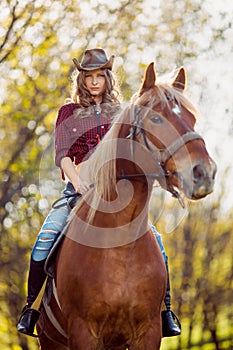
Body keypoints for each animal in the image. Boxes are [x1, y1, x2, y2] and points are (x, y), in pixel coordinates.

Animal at [36, 63, 217, 350]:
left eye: (192, 118)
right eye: (156, 119)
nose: (204, 173)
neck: (120, 246)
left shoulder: (148, 332)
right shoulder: (83, 332)